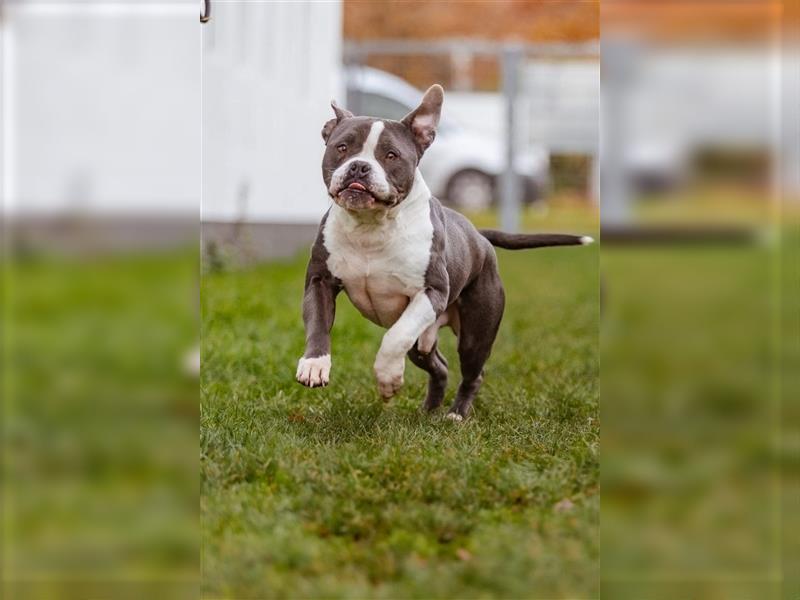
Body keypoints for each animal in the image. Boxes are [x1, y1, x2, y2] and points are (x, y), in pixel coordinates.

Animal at [296, 84, 592, 420]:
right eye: (342, 147)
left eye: (391, 155)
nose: (360, 166)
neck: (371, 227)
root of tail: (479, 236)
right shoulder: (320, 281)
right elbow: (318, 324)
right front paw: (314, 365)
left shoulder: (432, 292)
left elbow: (394, 337)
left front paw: (387, 378)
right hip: (423, 343)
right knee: (440, 366)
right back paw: (428, 410)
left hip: (475, 334)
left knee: (473, 372)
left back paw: (456, 414)